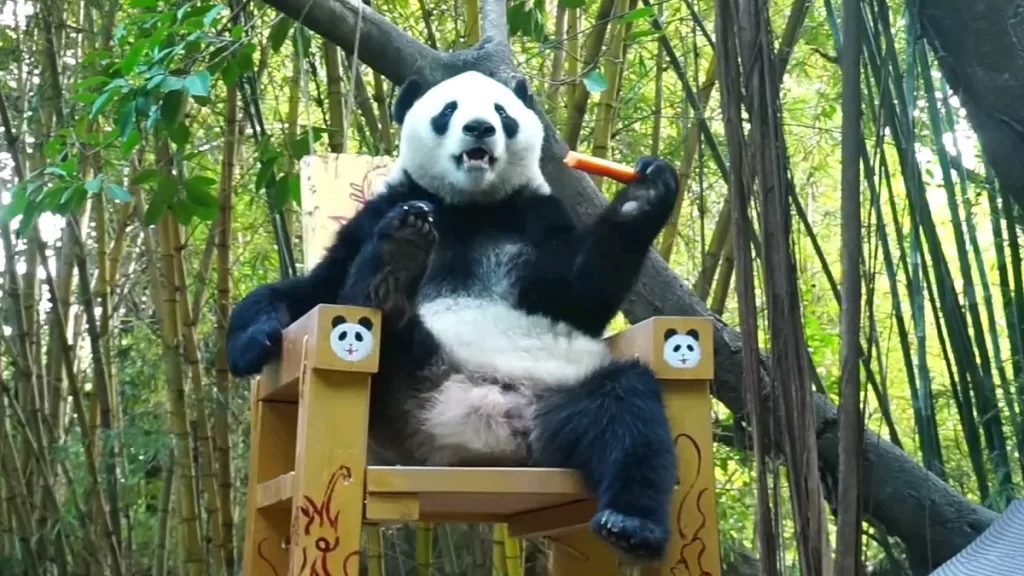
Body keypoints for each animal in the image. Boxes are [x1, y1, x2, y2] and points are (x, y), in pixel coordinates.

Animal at [226, 70, 680, 561]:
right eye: (449, 109)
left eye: (502, 112)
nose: (479, 127)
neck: (471, 206)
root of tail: (480, 428)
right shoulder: (381, 210)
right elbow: (313, 291)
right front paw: (253, 342)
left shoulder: (535, 217)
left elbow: (578, 295)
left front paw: (643, 193)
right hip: (393, 398)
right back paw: (394, 265)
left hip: (562, 390)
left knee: (628, 413)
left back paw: (631, 523)